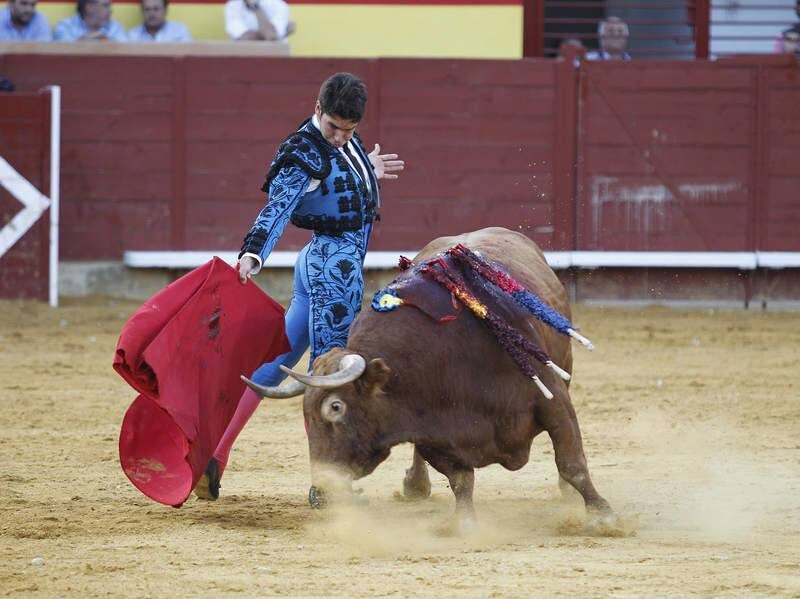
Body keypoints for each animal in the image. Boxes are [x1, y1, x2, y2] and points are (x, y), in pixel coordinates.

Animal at [244, 227, 612, 532]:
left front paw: (601, 515)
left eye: (336, 407)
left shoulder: (552, 397)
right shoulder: (434, 433)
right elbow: (461, 481)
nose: (322, 491)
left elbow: (571, 462)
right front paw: (466, 524)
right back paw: (415, 485)